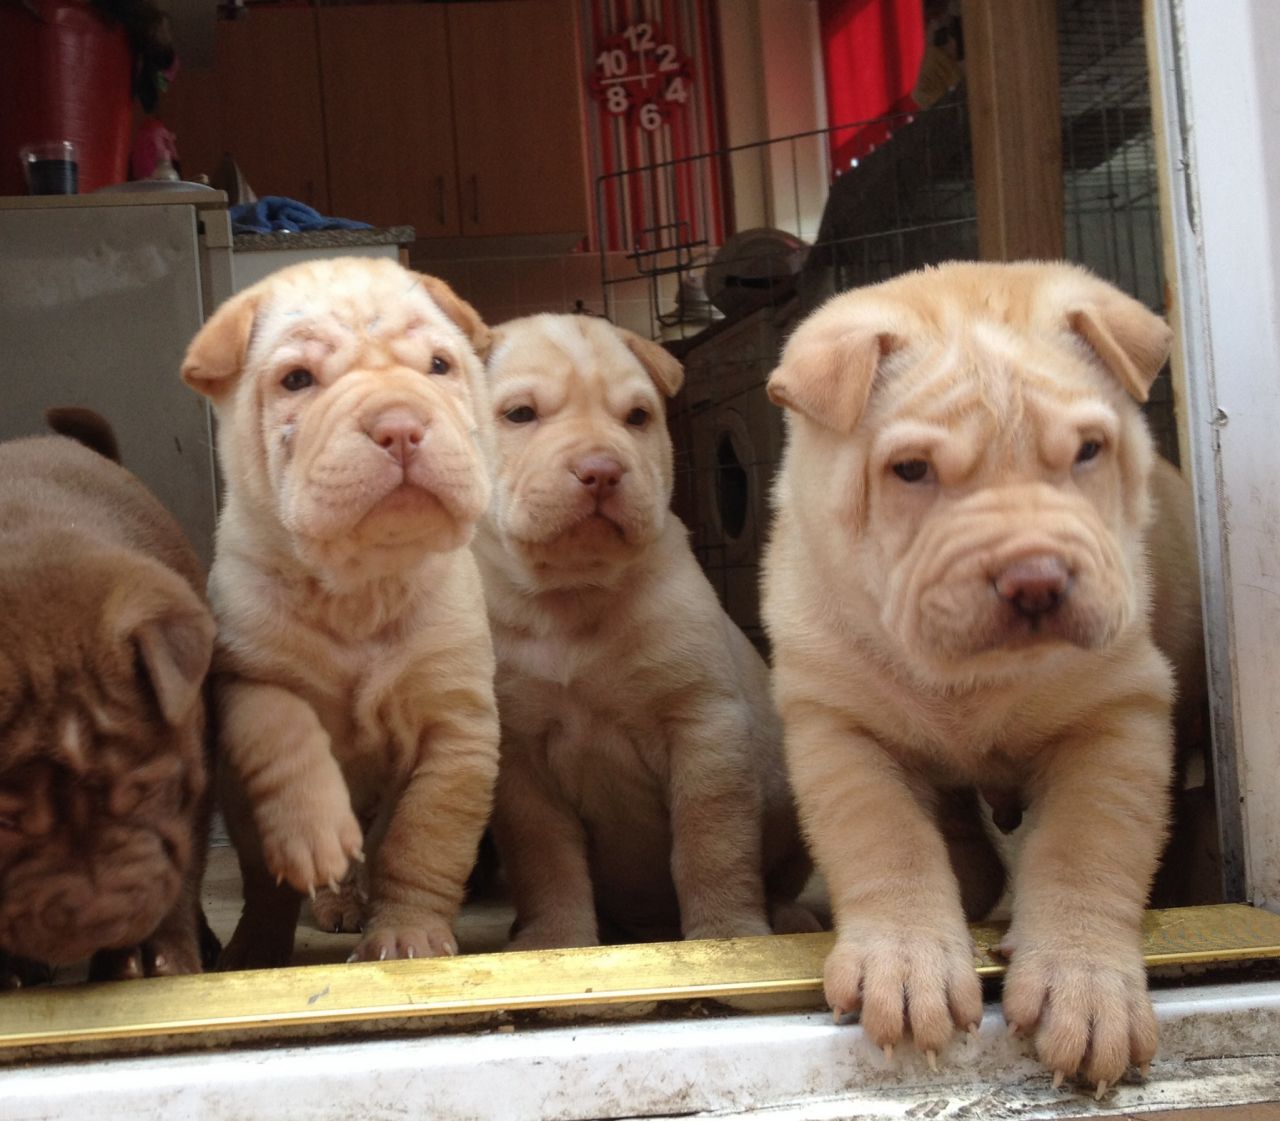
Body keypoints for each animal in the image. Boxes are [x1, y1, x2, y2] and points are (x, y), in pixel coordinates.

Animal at [181, 258, 499, 967]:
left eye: (440, 365)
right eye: (297, 379)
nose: (401, 425)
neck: (362, 587)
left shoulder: (455, 724)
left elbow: (422, 835)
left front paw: (408, 938)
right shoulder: (249, 675)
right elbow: (285, 737)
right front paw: (313, 839)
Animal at [476, 313, 814, 946]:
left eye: (637, 418)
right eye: (520, 414)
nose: (602, 470)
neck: (573, 595)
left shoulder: (703, 727)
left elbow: (712, 844)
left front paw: (726, 934)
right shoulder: (522, 759)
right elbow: (545, 858)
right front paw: (554, 941)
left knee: (783, 872)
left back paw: (788, 917)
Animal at [757, 258, 1198, 1090]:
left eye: (1088, 450)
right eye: (911, 470)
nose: (1036, 579)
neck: (971, 681)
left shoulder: (1119, 710)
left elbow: (1086, 845)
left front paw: (1085, 991)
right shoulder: (838, 723)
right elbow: (886, 837)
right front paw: (905, 968)